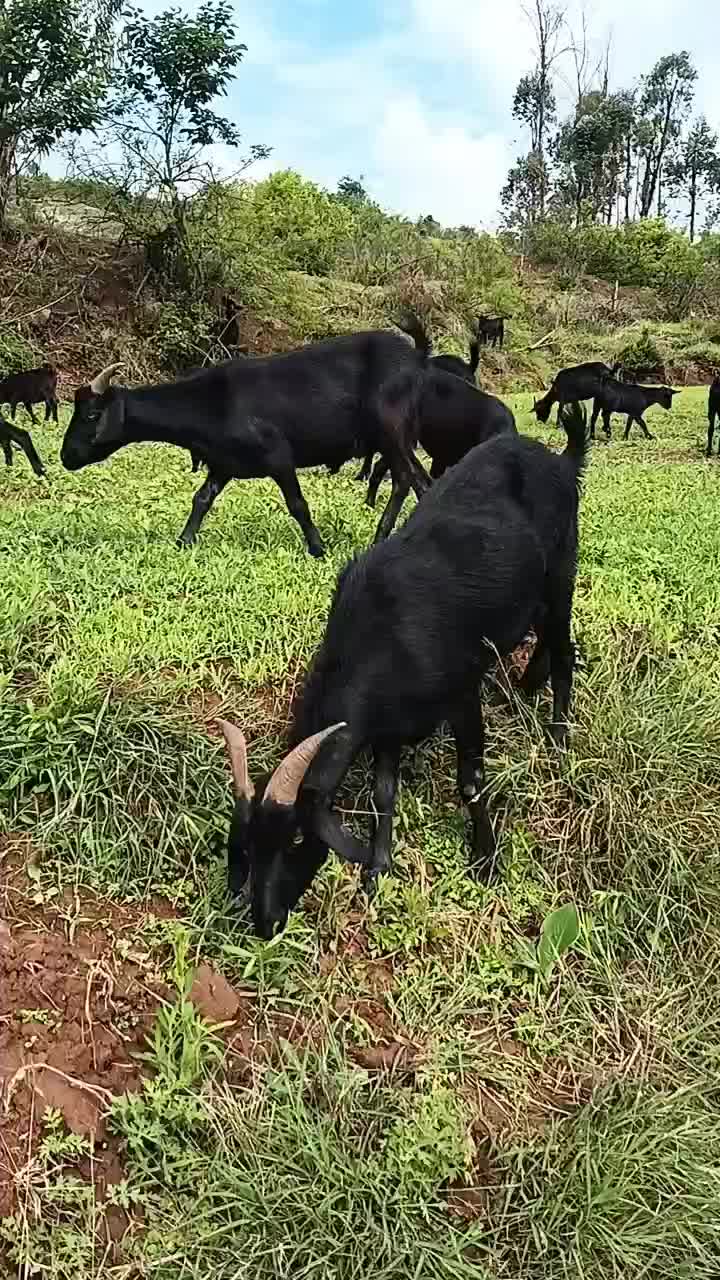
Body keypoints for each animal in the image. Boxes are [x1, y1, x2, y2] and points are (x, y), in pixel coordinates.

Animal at [58, 332, 427, 552]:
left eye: (91, 415)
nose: (66, 455)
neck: (213, 402)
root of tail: (414, 360)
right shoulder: (223, 464)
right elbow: (201, 499)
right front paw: (183, 541)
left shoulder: (279, 457)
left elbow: (297, 504)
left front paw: (317, 548)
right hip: (400, 438)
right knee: (421, 479)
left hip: (390, 432)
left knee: (404, 478)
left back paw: (380, 536)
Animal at [215, 407, 586, 942]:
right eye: (245, 843)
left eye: (297, 839)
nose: (266, 925)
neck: (382, 632)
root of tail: (559, 460)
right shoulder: (386, 722)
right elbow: (381, 793)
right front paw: (377, 871)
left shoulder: (460, 693)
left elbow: (471, 779)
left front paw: (486, 860)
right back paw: (525, 688)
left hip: (561, 579)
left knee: (565, 651)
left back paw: (557, 738)